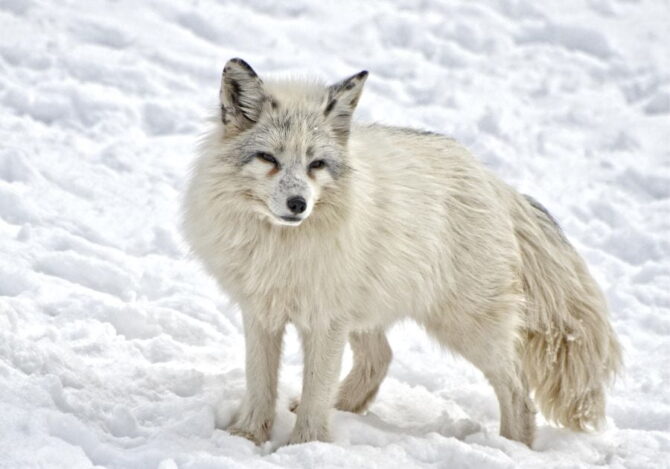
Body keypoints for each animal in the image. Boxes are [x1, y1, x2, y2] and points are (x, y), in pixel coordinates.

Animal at [182, 58, 622, 447]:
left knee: (518, 394)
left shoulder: (325, 321)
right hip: (369, 313)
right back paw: (343, 408)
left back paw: (511, 449)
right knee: (381, 358)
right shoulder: (262, 312)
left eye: (316, 164)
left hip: (467, 328)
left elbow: (316, 391)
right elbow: (261, 383)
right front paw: (247, 437)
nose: (298, 204)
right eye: (268, 159)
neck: (281, 247)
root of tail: (493, 181)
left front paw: (304, 447)